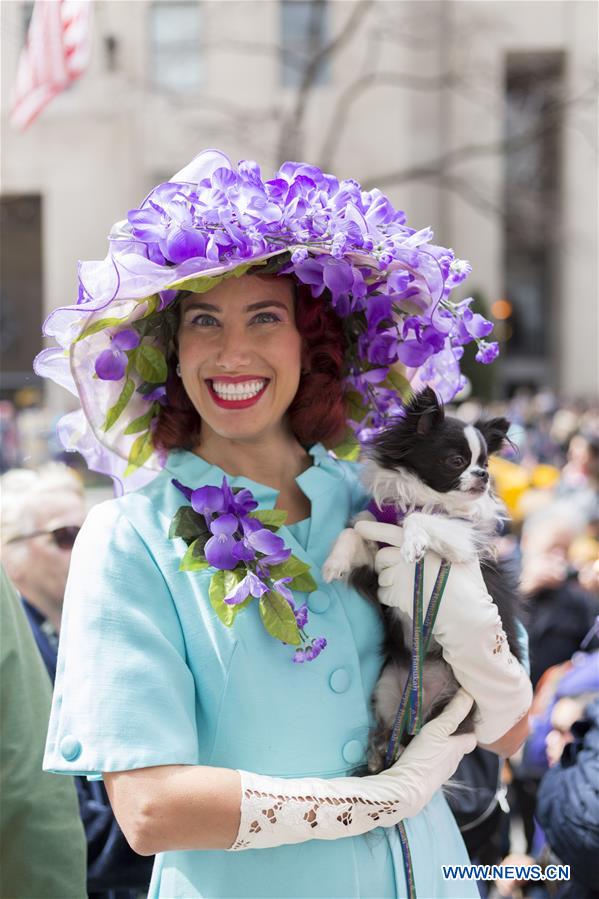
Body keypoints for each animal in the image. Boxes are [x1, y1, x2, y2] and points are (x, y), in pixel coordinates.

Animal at [324, 386, 524, 772]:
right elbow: (354, 531)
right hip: (388, 691)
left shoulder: (462, 538)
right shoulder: (373, 545)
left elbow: (425, 519)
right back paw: (379, 756)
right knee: (392, 734)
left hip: (455, 700)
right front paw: (334, 563)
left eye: (485, 463)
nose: (483, 475)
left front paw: (414, 542)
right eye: (457, 461)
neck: (423, 497)